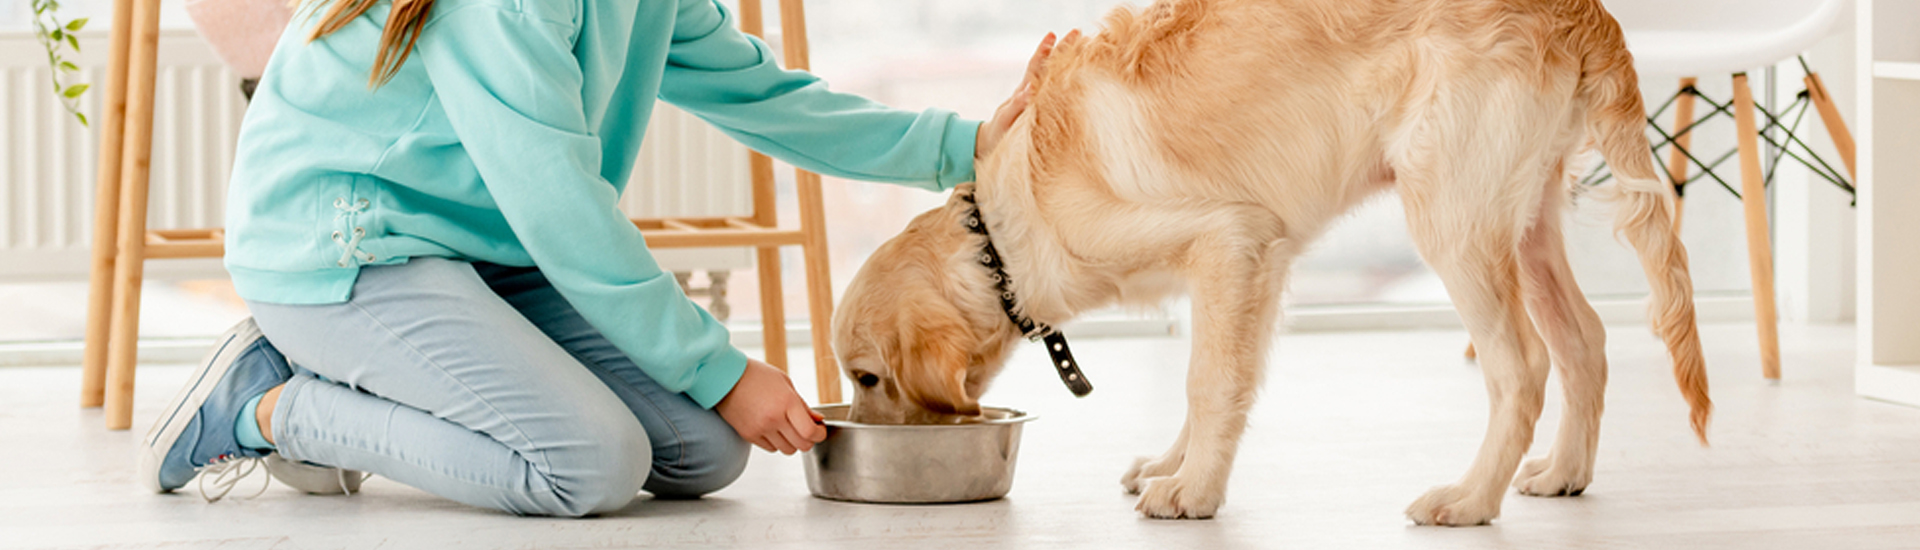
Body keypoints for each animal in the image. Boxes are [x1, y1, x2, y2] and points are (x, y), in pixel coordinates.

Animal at [825, 0, 1712, 523]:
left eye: (867, 378)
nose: (849, 439)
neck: (1000, 238)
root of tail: (1583, 10)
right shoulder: (1257, 261)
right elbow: (1220, 375)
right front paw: (1176, 465)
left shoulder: (1229, 238)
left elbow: (1208, 381)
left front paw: (1193, 493)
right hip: (1520, 221)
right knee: (1584, 340)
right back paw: (1564, 472)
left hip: (1452, 219)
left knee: (1522, 365)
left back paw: (1467, 500)